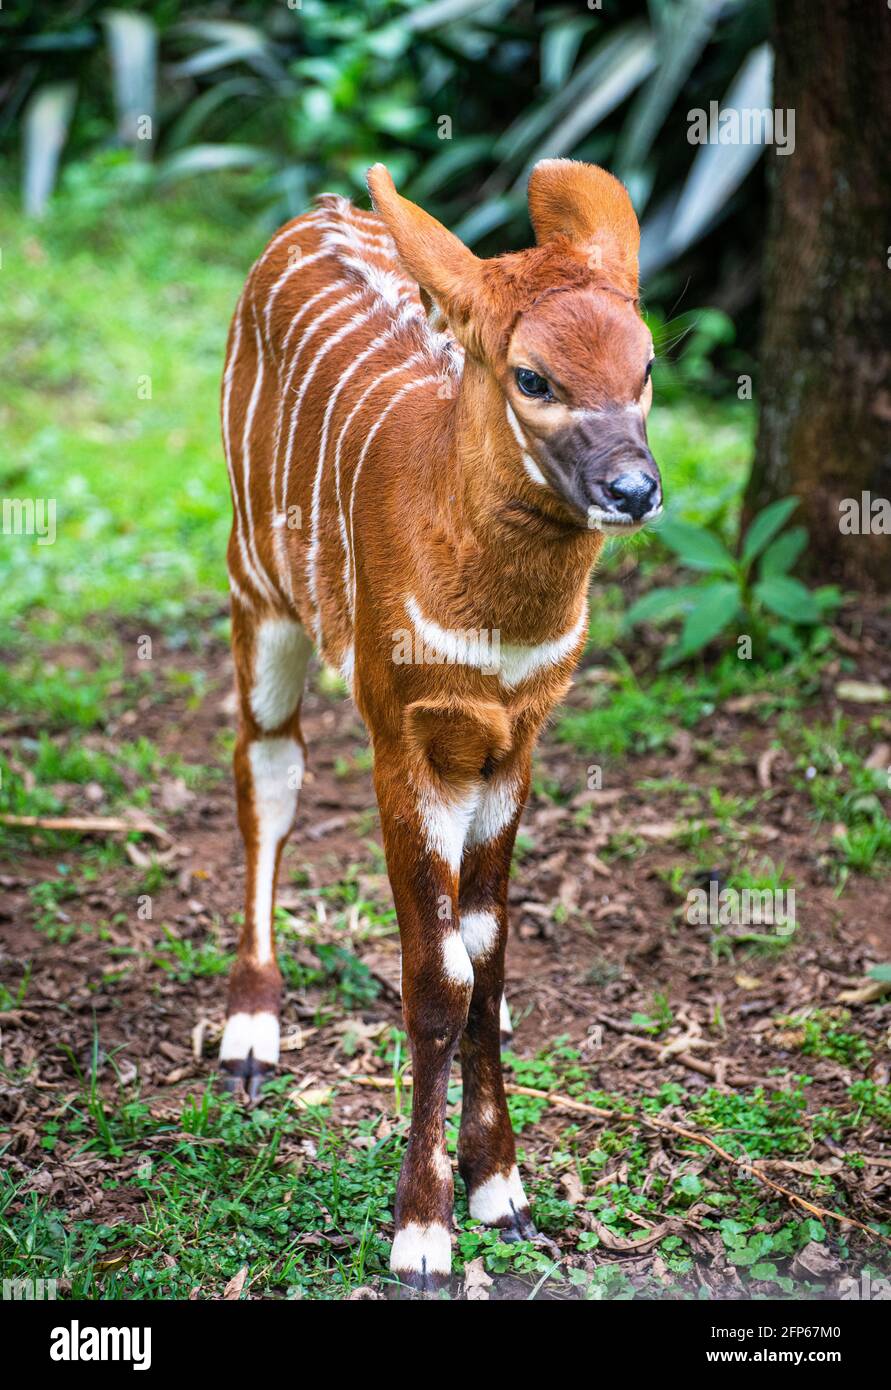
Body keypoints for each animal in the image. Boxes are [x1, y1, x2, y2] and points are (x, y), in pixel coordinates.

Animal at [219, 158, 662, 1293]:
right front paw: (421, 1232)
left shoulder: (515, 742)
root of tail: (324, 210)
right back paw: (249, 1030)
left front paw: (502, 1190)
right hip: (258, 589)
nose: (633, 488)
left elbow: (488, 958)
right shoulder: (403, 737)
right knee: (265, 769)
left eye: (646, 366)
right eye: (533, 378)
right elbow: (434, 979)